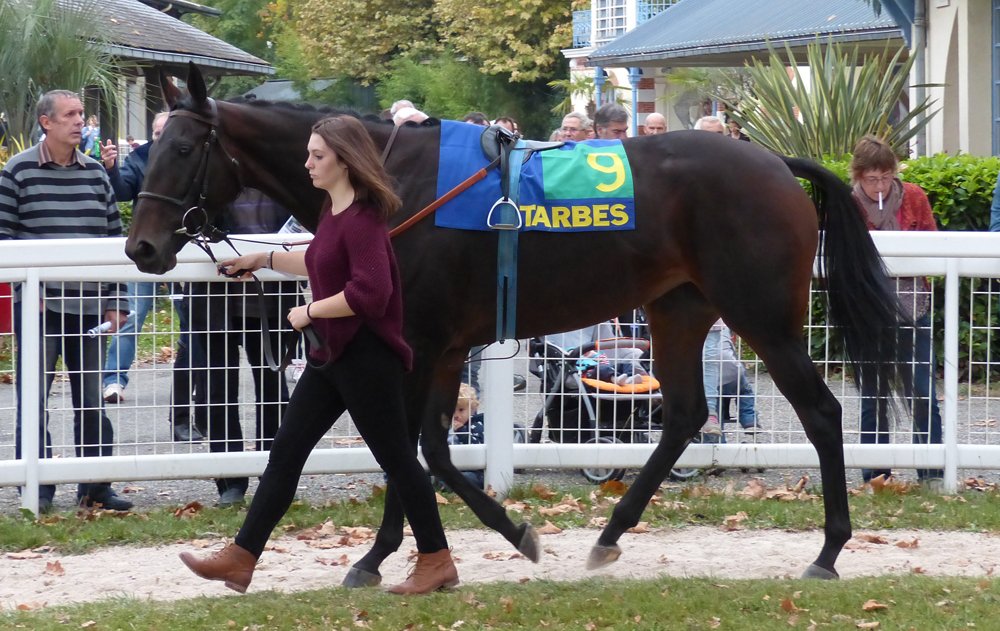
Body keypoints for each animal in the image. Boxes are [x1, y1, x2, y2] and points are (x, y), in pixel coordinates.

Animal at [126, 63, 906, 584]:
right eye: (150, 147)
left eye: (186, 149)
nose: (142, 247)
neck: (392, 186)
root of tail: (775, 161)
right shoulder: (440, 349)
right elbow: (427, 451)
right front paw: (479, 538)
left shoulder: (419, 344)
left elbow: (407, 451)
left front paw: (390, 555)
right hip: (678, 307)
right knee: (685, 413)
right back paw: (610, 533)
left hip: (763, 317)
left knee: (822, 411)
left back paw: (829, 549)